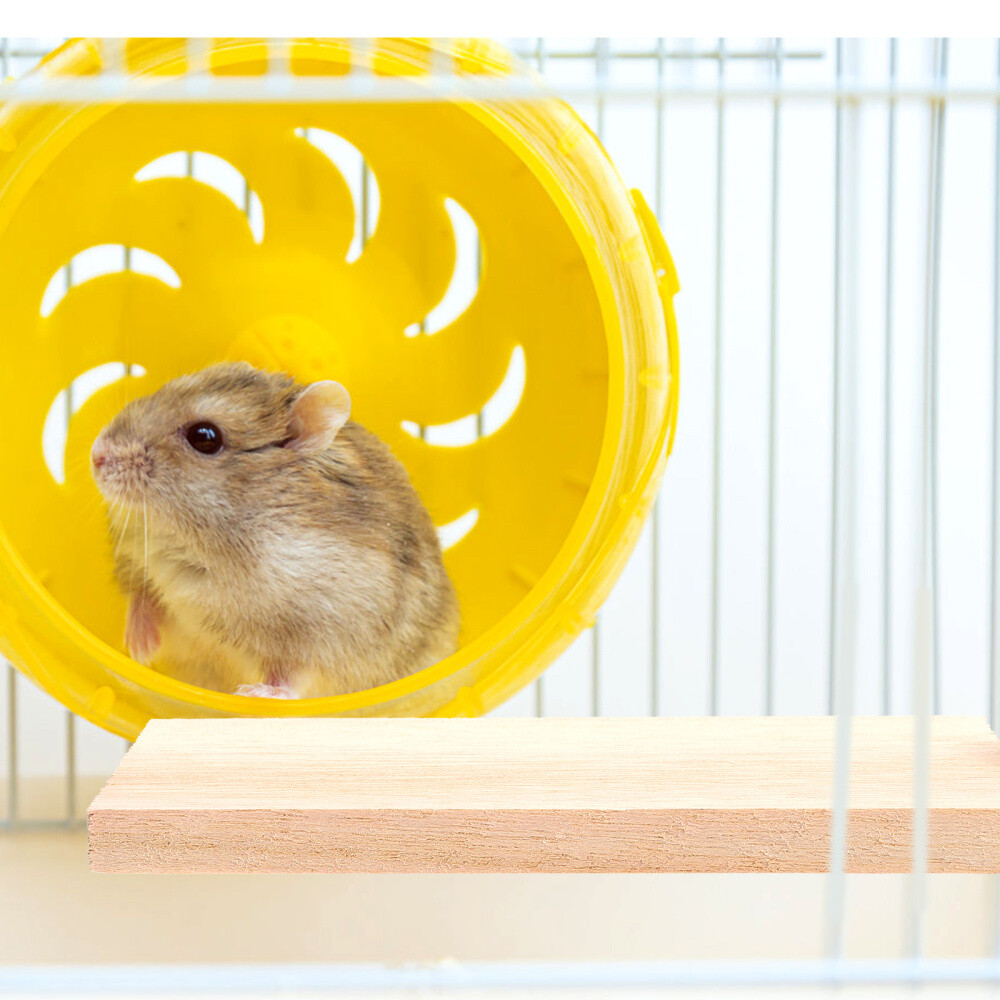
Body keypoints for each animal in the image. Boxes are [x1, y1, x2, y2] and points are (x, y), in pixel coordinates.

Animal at [90, 362, 460, 699]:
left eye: (205, 437)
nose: (96, 454)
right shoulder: (138, 561)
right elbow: (141, 595)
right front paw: (138, 648)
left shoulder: (328, 633)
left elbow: (292, 678)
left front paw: (250, 694)